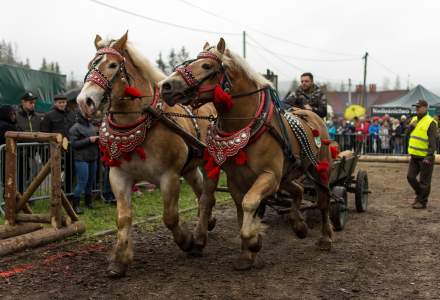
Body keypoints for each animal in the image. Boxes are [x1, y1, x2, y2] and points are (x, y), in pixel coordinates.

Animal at [77, 32, 218, 276]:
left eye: (112, 65)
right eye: (90, 64)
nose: (84, 102)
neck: (140, 121)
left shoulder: (169, 176)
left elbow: (170, 217)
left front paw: (187, 241)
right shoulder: (119, 176)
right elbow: (123, 218)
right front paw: (120, 259)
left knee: (207, 195)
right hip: (190, 167)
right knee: (201, 192)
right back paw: (207, 222)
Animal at [160, 37, 336, 270]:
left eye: (206, 66)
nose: (166, 86)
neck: (246, 125)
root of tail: (310, 114)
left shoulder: (268, 176)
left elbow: (250, 203)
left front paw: (253, 240)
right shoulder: (237, 180)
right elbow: (241, 211)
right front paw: (247, 253)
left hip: (319, 170)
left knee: (324, 200)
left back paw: (325, 238)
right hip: (286, 175)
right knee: (298, 190)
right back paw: (299, 225)